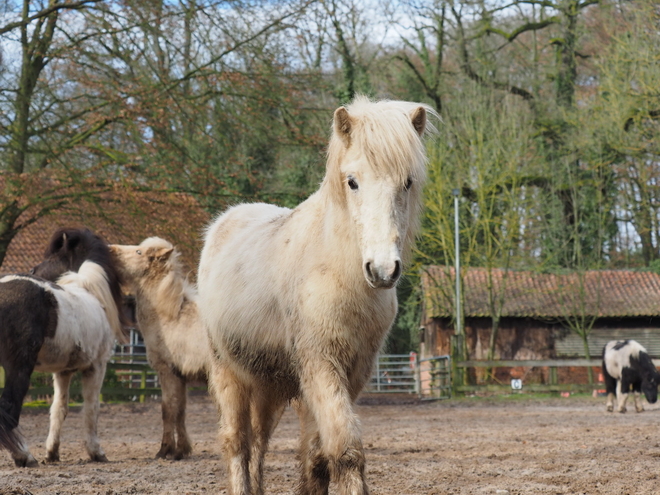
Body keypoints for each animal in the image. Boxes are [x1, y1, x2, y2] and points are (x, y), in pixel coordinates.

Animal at [0, 229, 126, 468]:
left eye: (52, 258)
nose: (33, 269)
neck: (90, 292)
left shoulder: (63, 372)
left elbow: (59, 409)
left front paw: (52, 453)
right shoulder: (96, 367)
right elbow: (91, 409)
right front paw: (96, 452)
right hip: (17, 369)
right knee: (9, 410)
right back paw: (24, 456)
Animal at [109, 237, 210, 462]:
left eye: (138, 252)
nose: (109, 249)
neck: (171, 317)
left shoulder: (167, 372)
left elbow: (168, 410)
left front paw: (165, 451)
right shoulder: (180, 376)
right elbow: (180, 411)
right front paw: (181, 450)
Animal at [197, 97, 434, 495]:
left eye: (408, 182)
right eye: (352, 181)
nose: (382, 270)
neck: (337, 272)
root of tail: (223, 223)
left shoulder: (352, 373)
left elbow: (318, 459)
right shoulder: (321, 365)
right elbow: (345, 450)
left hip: (269, 386)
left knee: (259, 443)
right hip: (228, 373)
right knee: (237, 442)